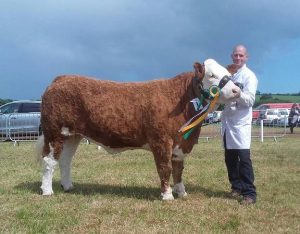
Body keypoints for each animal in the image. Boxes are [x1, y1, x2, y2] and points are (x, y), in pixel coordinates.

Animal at [37, 58, 239, 199]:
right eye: (211, 75)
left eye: (228, 74)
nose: (237, 90)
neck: (181, 100)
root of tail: (60, 79)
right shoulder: (161, 140)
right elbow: (164, 167)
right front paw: (167, 195)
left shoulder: (180, 144)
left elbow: (178, 169)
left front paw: (181, 192)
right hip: (55, 133)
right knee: (49, 161)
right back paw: (47, 191)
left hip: (73, 136)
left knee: (64, 161)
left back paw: (67, 186)